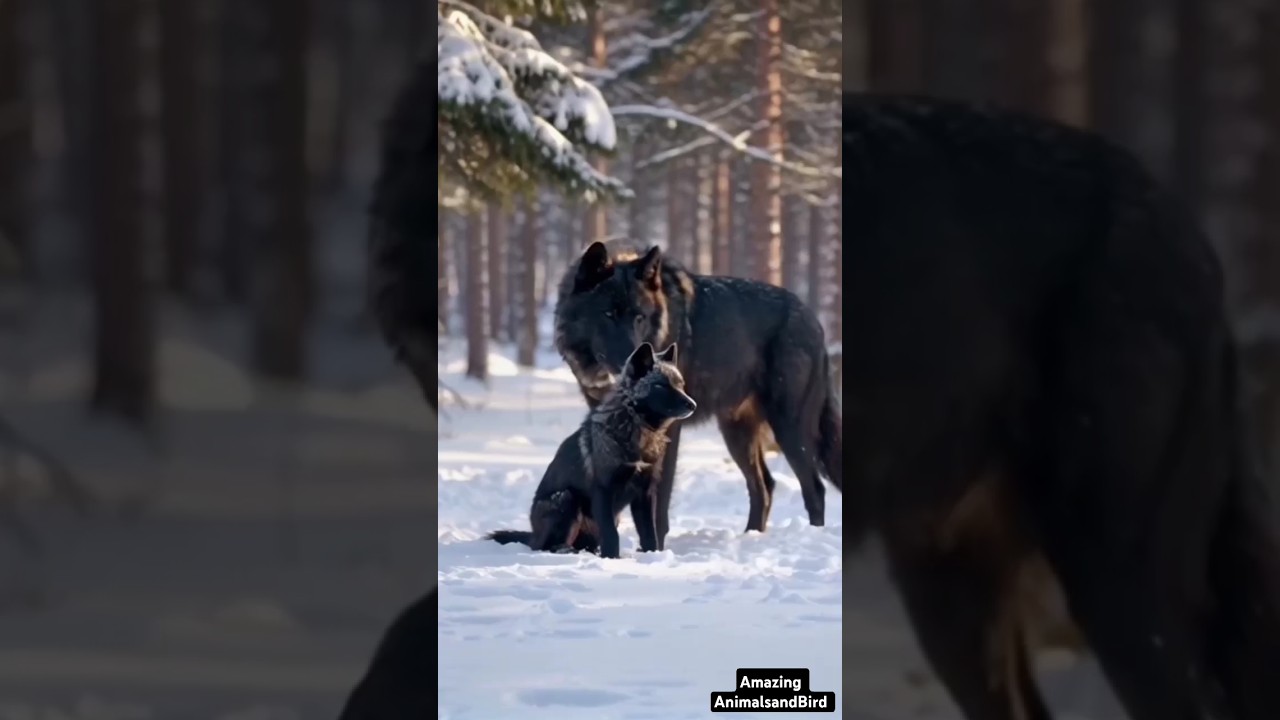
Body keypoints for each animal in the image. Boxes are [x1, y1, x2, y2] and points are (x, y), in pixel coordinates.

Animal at [488, 342, 696, 559]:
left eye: (680, 384)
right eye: (660, 386)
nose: (693, 405)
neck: (636, 428)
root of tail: (533, 535)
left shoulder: (645, 493)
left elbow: (649, 534)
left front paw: (651, 556)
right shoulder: (604, 491)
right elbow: (612, 535)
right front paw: (612, 559)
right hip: (566, 499)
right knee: (547, 546)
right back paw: (565, 550)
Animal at [553, 242, 842, 545]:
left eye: (639, 317)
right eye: (608, 314)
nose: (637, 357)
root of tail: (812, 318)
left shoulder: (669, 432)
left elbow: (659, 502)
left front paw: (654, 548)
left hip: (789, 427)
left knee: (814, 488)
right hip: (737, 434)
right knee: (764, 485)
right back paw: (751, 535)